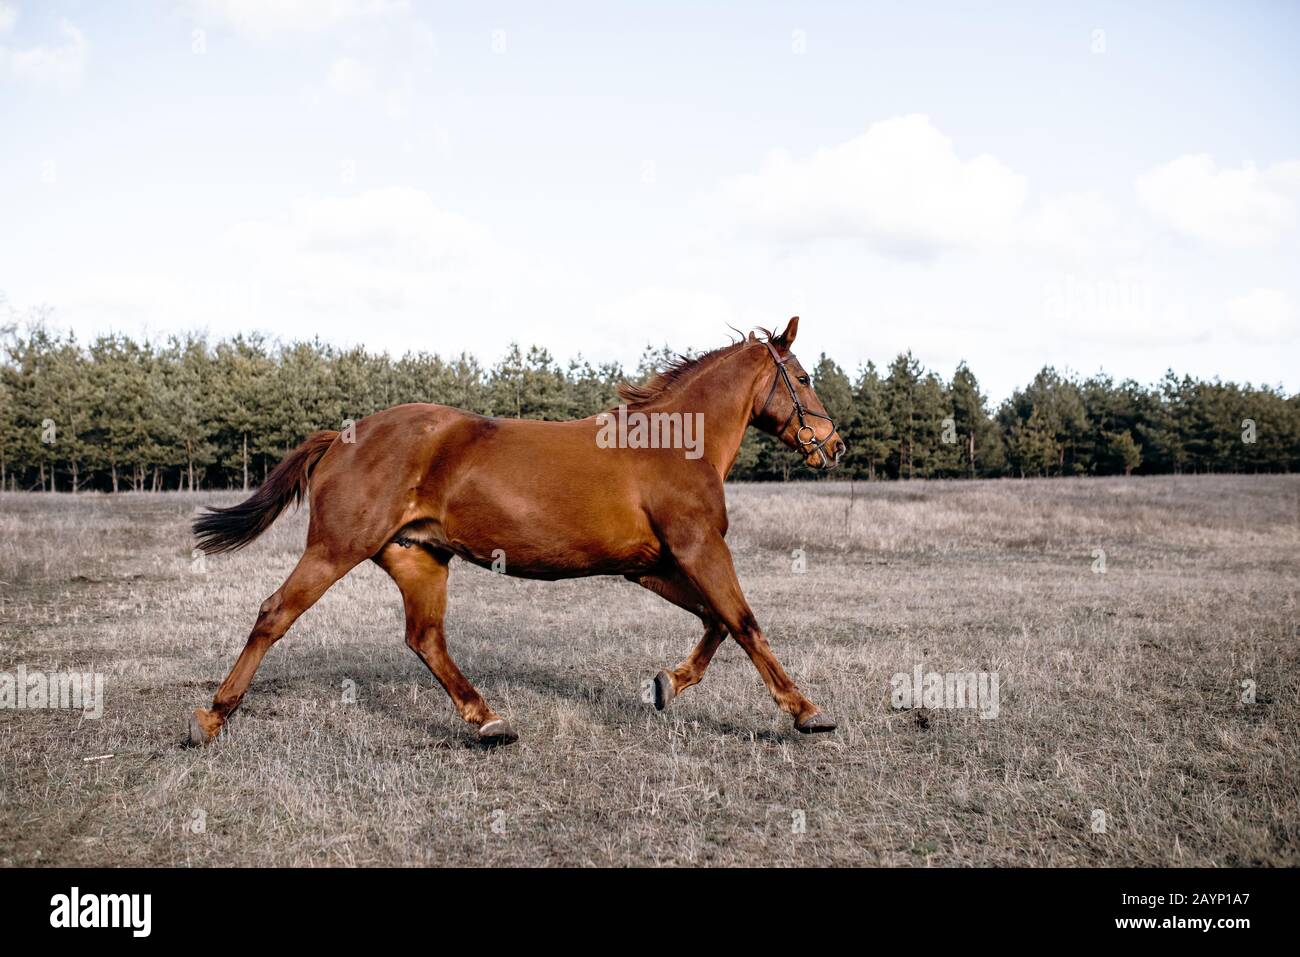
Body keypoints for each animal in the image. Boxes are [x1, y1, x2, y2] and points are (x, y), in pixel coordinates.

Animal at [188, 317, 847, 748]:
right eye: (804, 377)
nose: (834, 444)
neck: (672, 445)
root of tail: (344, 436)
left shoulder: (650, 565)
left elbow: (715, 621)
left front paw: (667, 685)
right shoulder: (698, 547)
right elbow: (744, 622)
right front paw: (806, 711)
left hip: (418, 558)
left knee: (425, 639)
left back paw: (488, 720)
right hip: (334, 550)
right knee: (275, 613)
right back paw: (211, 718)